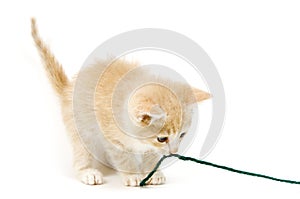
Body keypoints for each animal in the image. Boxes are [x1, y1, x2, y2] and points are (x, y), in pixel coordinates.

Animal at [30, 19, 209, 187]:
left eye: (182, 135)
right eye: (162, 139)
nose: (173, 152)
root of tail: (68, 89)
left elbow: (149, 155)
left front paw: (153, 172)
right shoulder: (110, 138)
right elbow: (123, 157)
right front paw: (131, 175)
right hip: (81, 129)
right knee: (82, 152)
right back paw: (88, 172)